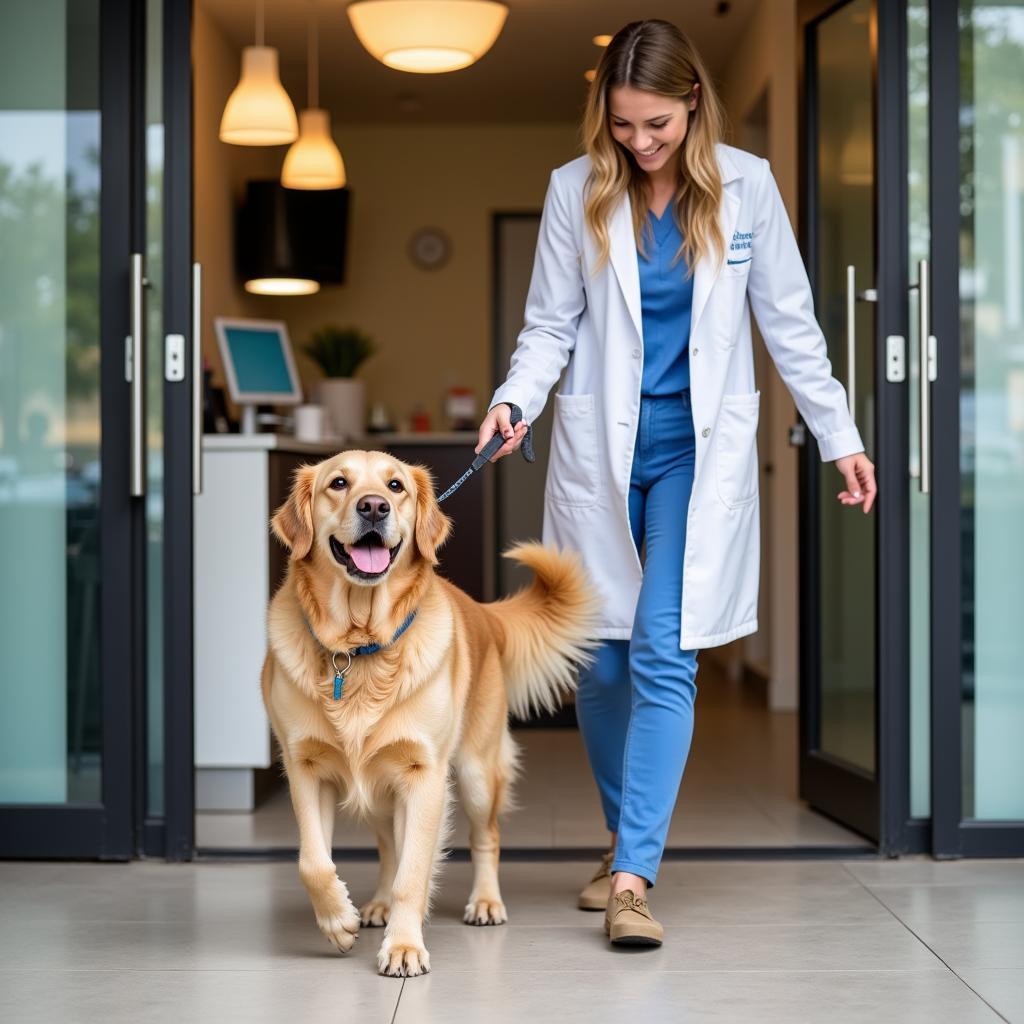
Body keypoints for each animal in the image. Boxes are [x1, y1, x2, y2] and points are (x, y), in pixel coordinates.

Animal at [262, 450, 598, 974]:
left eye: (395, 486)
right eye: (338, 483)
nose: (374, 507)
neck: (358, 650)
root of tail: (481, 608)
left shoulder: (424, 776)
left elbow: (414, 870)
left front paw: (404, 946)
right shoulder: (305, 768)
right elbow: (313, 861)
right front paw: (339, 920)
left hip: (477, 773)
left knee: (486, 837)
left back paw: (485, 902)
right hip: (379, 791)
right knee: (387, 848)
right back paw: (377, 904)